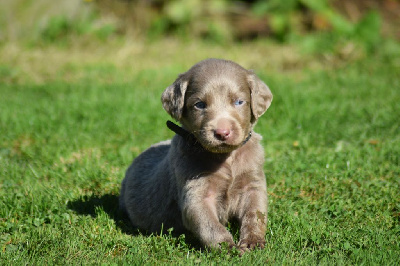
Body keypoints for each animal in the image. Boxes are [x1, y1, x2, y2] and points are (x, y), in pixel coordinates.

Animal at [120, 57, 274, 251]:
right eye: (199, 105)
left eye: (239, 102)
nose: (222, 132)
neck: (225, 158)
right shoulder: (196, 192)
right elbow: (209, 225)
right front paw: (227, 247)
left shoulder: (252, 183)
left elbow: (255, 213)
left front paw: (253, 241)